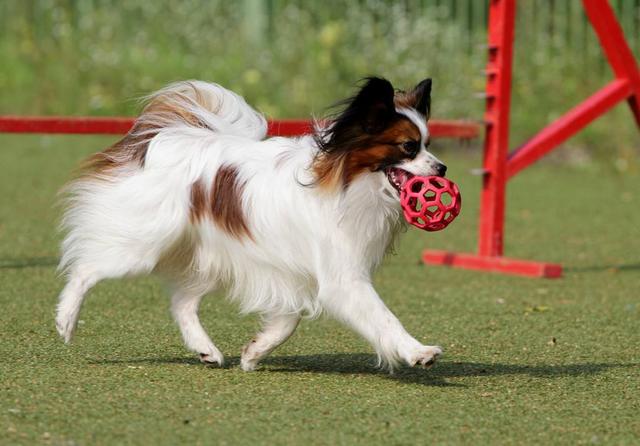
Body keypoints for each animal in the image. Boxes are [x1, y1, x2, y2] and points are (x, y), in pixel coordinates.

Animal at [57, 78, 448, 372]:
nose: (443, 168)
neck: (346, 180)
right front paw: (417, 352)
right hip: (142, 244)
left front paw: (254, 351)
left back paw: (206, 348)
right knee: (87, 269)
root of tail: (168, 137)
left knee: (182, 302)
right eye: (409, 147)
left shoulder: (292, 271)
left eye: (428, 144)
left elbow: (288, 321)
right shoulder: (343, 280)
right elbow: (384, 318)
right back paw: (66, 319)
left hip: (206, 256)